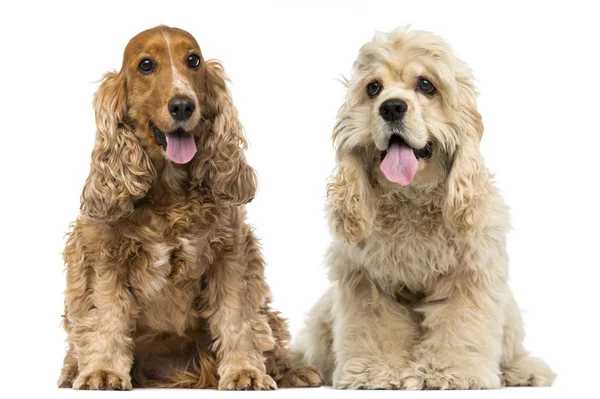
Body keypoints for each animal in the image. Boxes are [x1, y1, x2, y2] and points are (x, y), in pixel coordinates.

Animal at [59, 25, 324, 390]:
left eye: (193, 60)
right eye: (145, 65)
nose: (183, 105)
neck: (169, 191)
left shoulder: (232, 253)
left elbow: (237, 317)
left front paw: (244, 371)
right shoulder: (103, 256)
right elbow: (105, 316)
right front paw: (103, 371)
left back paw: (293, 371)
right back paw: (72, 371)